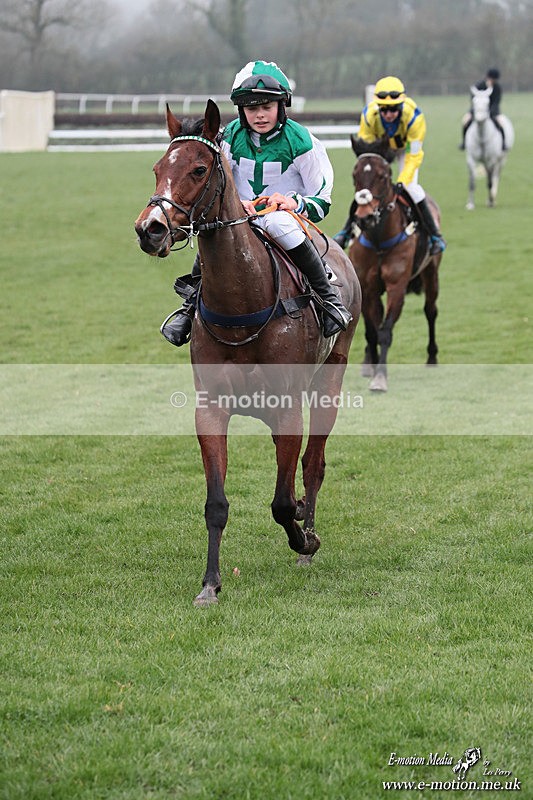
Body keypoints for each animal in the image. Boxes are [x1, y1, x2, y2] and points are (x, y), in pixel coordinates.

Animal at [134, 100, 361, 605]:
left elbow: (281, 501)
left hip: (330, 380)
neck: (243, 302)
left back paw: (307, 533)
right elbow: (216, 503)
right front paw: (210, 583)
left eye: (199, 169)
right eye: (157, 167)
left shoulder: (288, 407)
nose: (149, 229)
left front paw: (304, 538)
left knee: (313, 464)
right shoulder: (211, 408)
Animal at [346, 136, 442, 392]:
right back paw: (367, 361)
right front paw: (372, 366)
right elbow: (371, 331)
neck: (379, 240)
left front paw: (380, 377)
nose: (365, 217)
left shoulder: (397, 286)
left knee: (431, 311)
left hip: (432, 273)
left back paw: (432, 358)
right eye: (354, 175)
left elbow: (385, 331)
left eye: (383, 176)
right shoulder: (368, 286)